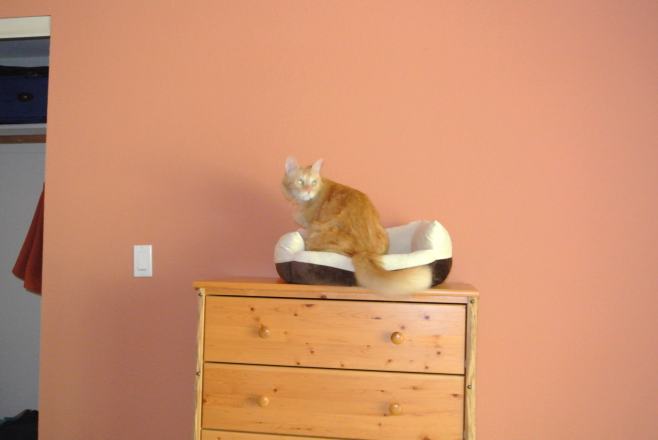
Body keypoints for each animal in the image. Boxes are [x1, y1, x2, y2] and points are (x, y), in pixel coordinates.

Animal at [281, 157, 432, 295]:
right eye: (300, 181)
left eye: (313, 182)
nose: (308, 191)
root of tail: (366, 251)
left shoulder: (311, 224)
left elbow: (305, 230)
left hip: (319, 238)